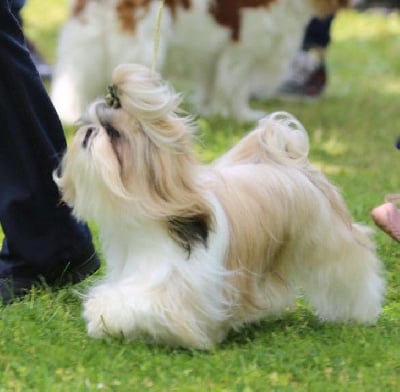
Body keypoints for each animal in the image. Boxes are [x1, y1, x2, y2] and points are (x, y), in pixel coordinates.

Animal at [49, 0, 350, 123]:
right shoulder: (243, 47)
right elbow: (236, 87)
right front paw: (242, 116)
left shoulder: (214, 57)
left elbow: (212, 85)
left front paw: (210, 111)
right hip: (141, 46)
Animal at [54, 63, 384, 350]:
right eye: (87, 124)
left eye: (112, 132)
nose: (88, 133)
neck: (153, 214)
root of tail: (291, 161)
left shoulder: (178, 287)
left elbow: (138, 301)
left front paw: (106, 312)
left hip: (329, 243)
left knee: (349, 269)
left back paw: (360, 310)